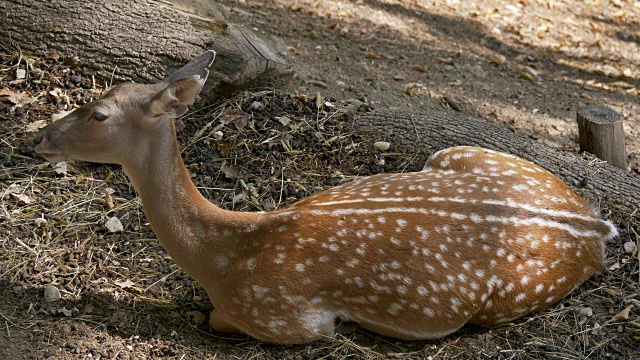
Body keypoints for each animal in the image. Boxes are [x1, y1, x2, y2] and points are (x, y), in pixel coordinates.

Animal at [33, 50, 616, 344]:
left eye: (98, 113)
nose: (37, 137)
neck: (223, 257)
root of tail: (597, 228)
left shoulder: (290, 319)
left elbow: (216, 319)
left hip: (507, 301)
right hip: (462, 152)